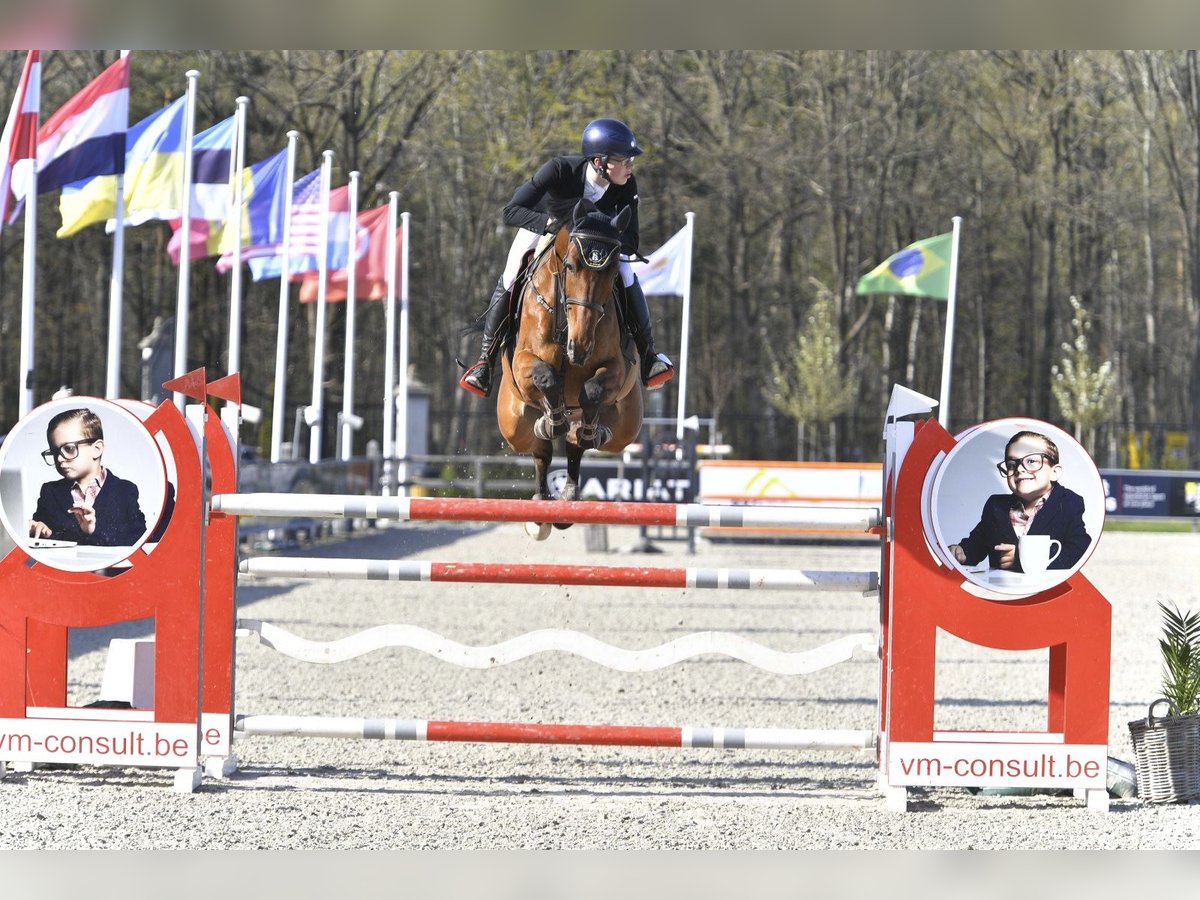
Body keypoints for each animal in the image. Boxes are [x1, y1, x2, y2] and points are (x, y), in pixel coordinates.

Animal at [496, 200, 648, 540]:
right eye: (571, 266)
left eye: (612, 271)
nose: (580, 346)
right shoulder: (523, 364)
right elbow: (546, 378)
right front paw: (553, 421)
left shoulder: (616, 368)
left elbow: (591, 391)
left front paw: (588, 430)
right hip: (514, 425)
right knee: (540, 450)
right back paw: (540, 510)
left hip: (626, 426)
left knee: (579, 444)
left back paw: (570, 489)